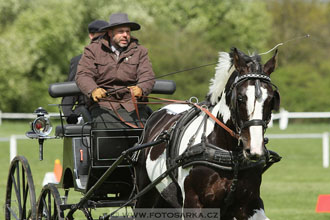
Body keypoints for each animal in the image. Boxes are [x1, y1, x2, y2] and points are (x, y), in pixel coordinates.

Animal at [135, 48, 280, 220]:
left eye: (271, 99)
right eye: (240, 98)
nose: (255, 149)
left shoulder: (249, 205)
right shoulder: (194, 203)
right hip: (146, 193)